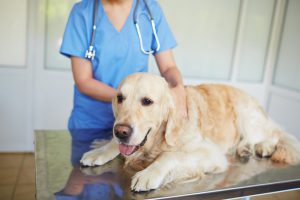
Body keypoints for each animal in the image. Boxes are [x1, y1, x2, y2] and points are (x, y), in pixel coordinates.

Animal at [79, 72, 300, 191]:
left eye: (147, 101)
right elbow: (113, 146)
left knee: (274, 134)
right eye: (120, 98)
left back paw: (262, 146)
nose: (121, 131)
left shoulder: (210, 153)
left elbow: (170, 156)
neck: (157, 140)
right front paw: (100, 151)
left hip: (245, 113)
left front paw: (148, 174)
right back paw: (245, 148)